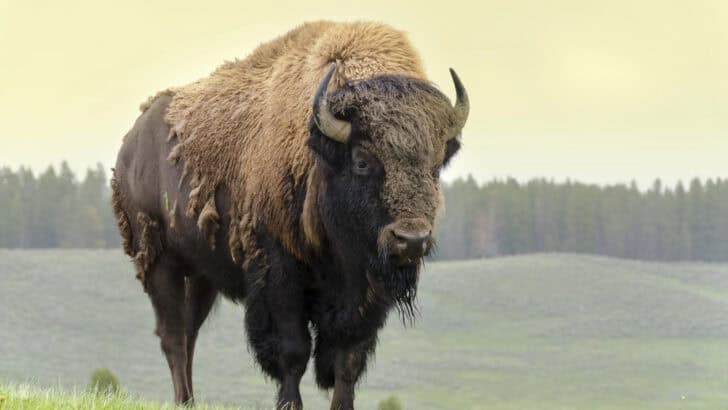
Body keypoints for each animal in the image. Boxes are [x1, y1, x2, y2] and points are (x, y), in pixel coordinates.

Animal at [111, 20, 468, 409]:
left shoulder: (365, 292)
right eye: (361, 160)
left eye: (435, 166)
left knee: (189, 333)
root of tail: (131, 144)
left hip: (202, 273)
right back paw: (183, 399)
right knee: (174, 336)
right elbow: (293, 352)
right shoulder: (278, 271)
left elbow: (348, 358)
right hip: (161, 261)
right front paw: (289, 404)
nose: (411, 239)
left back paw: (189, 401)